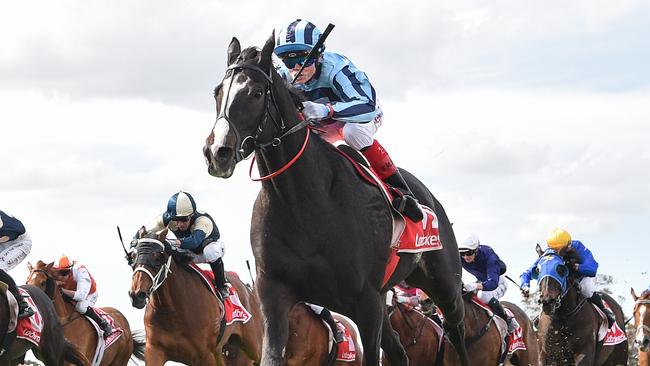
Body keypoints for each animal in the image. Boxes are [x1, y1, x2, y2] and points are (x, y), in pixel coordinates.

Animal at [128, 229, 262, 366]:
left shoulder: (207, 354)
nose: (137, 295)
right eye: (133, 257)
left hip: (254, 346)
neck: (173, 311)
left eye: (158, 258)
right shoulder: (154, 350)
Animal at [201, 32, 466, 366]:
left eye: (256, 92)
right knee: (399, 352)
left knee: (457, 331)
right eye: (217, 92)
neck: (304, 202)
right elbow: (272, 355)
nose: (217, 152)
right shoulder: (274, 295)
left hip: (444, 285)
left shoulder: (367, 301)